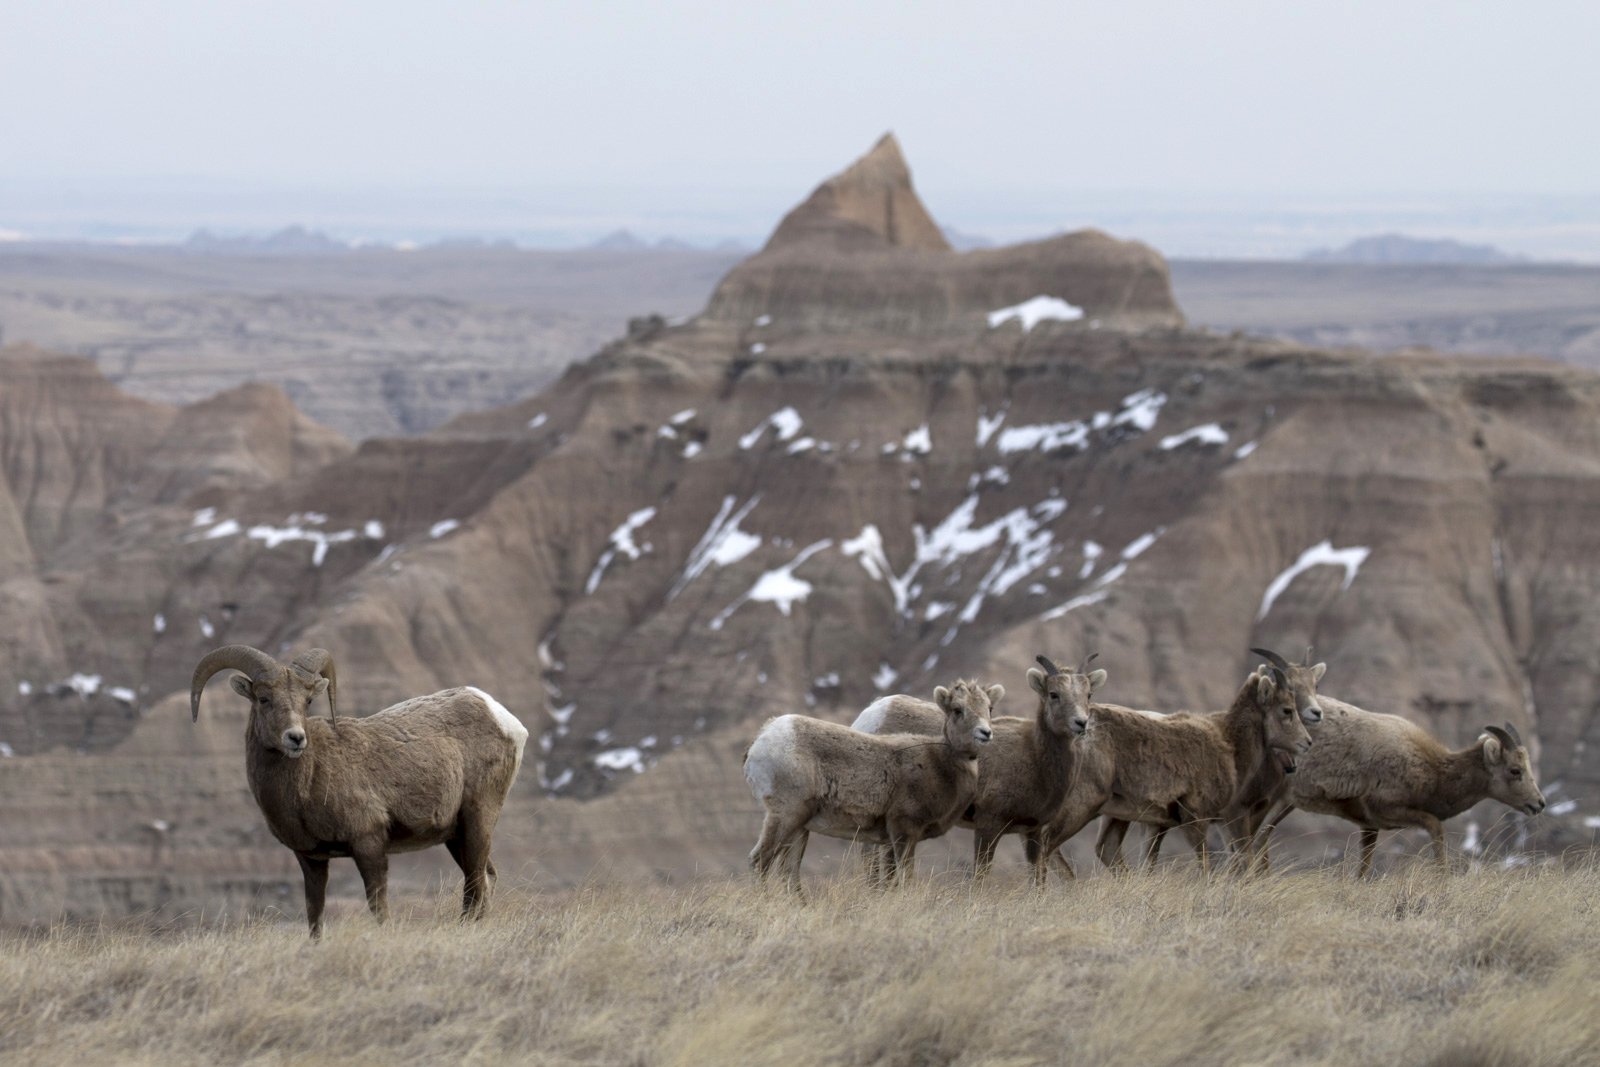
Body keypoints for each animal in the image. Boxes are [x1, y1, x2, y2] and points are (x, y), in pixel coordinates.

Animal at [190, 643, 521, 934]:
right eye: (263, 698)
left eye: (307, 701)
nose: (295, 738)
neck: (310, 779)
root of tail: (502, 717)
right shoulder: (311, 860)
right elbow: (314, 915)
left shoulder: (369, 845)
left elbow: (379, 909)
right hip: (455, 835)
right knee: (483, 879)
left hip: (478, 820)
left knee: (476, 883)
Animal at [739, 675, 992, 895]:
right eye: (958, 710)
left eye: (989, 708)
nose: (986, 733)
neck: (939, 763)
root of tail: (762, 739)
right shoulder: (903, 830)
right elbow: (903, 878)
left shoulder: (890, 839)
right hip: (786, 816)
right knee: (760, 861)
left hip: (800, 826)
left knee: (789, 871)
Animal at [857, 652, 1107, 883]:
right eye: (1054, 694)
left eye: (1088, 695)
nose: (1081, 723)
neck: (1034, 755)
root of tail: (871, 714)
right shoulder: (989, 825)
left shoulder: (1032, 831)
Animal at [1043, 655, 1318, 870]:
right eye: (1287, 710)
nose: (1307, 742)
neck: (1229, 744)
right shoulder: (1202, 819)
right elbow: (1212, 865)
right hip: (1083, 804)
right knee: (1047, 843)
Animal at [1241, 700, 1542, 876]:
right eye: (1515, 770)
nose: (1539, 804)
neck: (1432, 770)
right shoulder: (1389, 810)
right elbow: (1436, 829)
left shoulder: (1369, 826)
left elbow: (1364, 868)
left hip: (1285, 803)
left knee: (1261, 836)